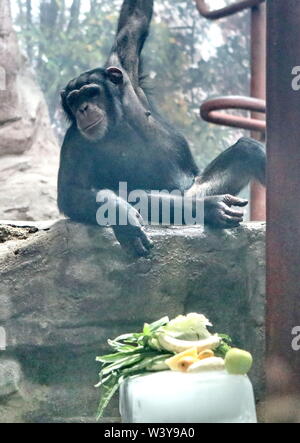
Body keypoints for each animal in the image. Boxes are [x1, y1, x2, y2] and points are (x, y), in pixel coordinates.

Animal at [58, 0, 264, 256]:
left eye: (90, 92)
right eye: (73, 100)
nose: (83, 109)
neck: (117, 119)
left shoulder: (124, 68)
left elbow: (134, 20)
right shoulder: (74, 140)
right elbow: (70, 192)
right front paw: (120, 213)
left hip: (195, 187)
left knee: (248, 150)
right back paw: (207, 208)